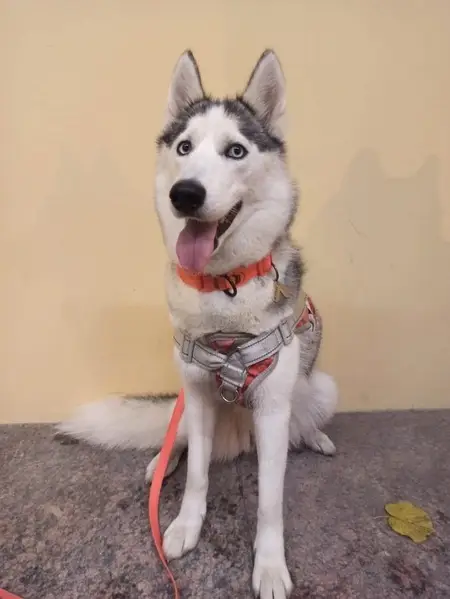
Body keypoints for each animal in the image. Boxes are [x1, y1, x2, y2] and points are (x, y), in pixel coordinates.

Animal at [58, 49, 338, 598]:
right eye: (184, 147)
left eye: (236, 150)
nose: (184, 193)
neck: (224, 287)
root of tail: (239, 434)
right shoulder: (200, 395)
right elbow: (198, 478)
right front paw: (186, 526)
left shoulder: (272, 407)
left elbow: (270, 502)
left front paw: (269, 565)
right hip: (187, 405)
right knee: (182, 442)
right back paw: (160, 461)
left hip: (319, 389)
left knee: (300, 423)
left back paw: (313, 437)